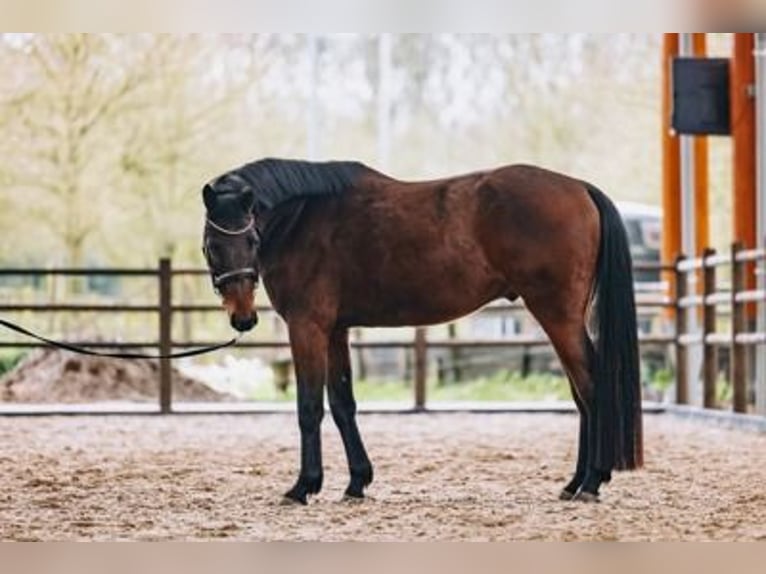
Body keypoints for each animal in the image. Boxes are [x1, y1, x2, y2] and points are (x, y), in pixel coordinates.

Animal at [201, 158, 644, 504]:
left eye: (252, 238)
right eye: (212, 245)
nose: (243, 317)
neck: (302, 220)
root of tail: (579, 188)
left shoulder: (307, 327)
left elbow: (309, 408)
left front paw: (303, 486)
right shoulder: (336, 331)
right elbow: (343, 405)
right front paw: (357, 481)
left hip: (557, 316)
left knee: (591, 390)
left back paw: (592, 481)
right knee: (581, 396)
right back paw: (575, 482)